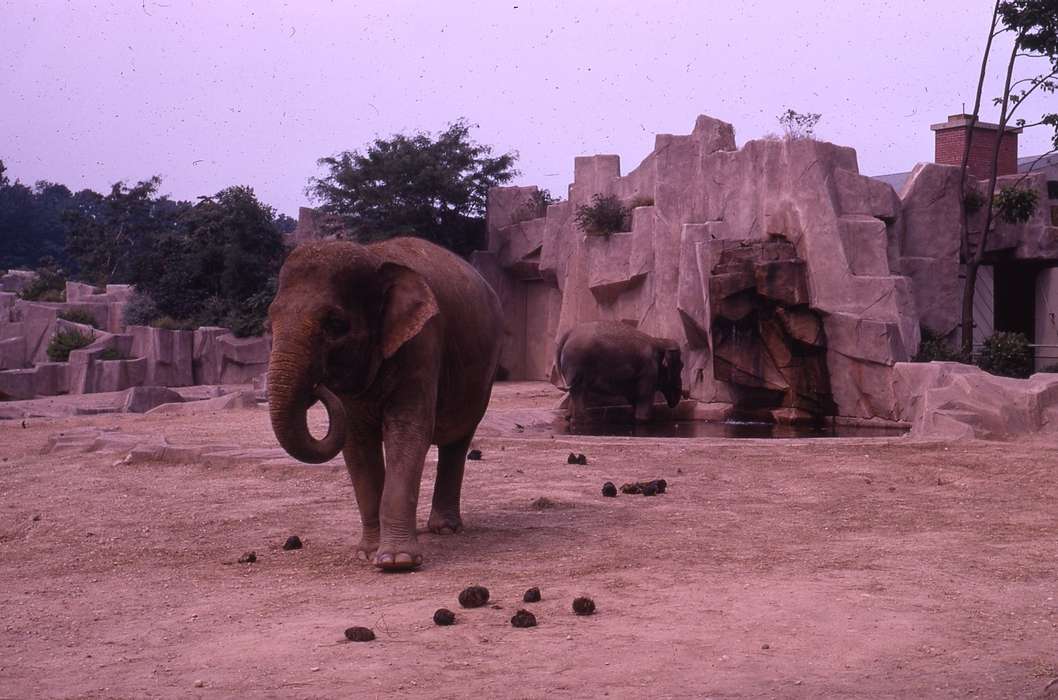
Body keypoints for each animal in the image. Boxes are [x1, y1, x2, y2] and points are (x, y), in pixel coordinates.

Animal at [270, 235, 505, 570]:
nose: (318, 387)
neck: (374, 256)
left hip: (483, 375)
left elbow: (406, 431)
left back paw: (445, 529)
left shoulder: (423, 342)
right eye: (269, 321)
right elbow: (356, 442)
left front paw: (398, 561)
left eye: (335, 324)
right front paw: (368, 554)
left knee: (458, 440)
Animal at [554, 321, 685, 422]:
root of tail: (568, 333)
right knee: (578, 390)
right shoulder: (649, 369)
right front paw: (644, 419)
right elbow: (644, 395)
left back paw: (570, 418)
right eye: (681, 366)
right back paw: (585, 420)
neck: (659, 342)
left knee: (575, 390)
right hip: (577, 361)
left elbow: (633, 396)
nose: (682, 393)